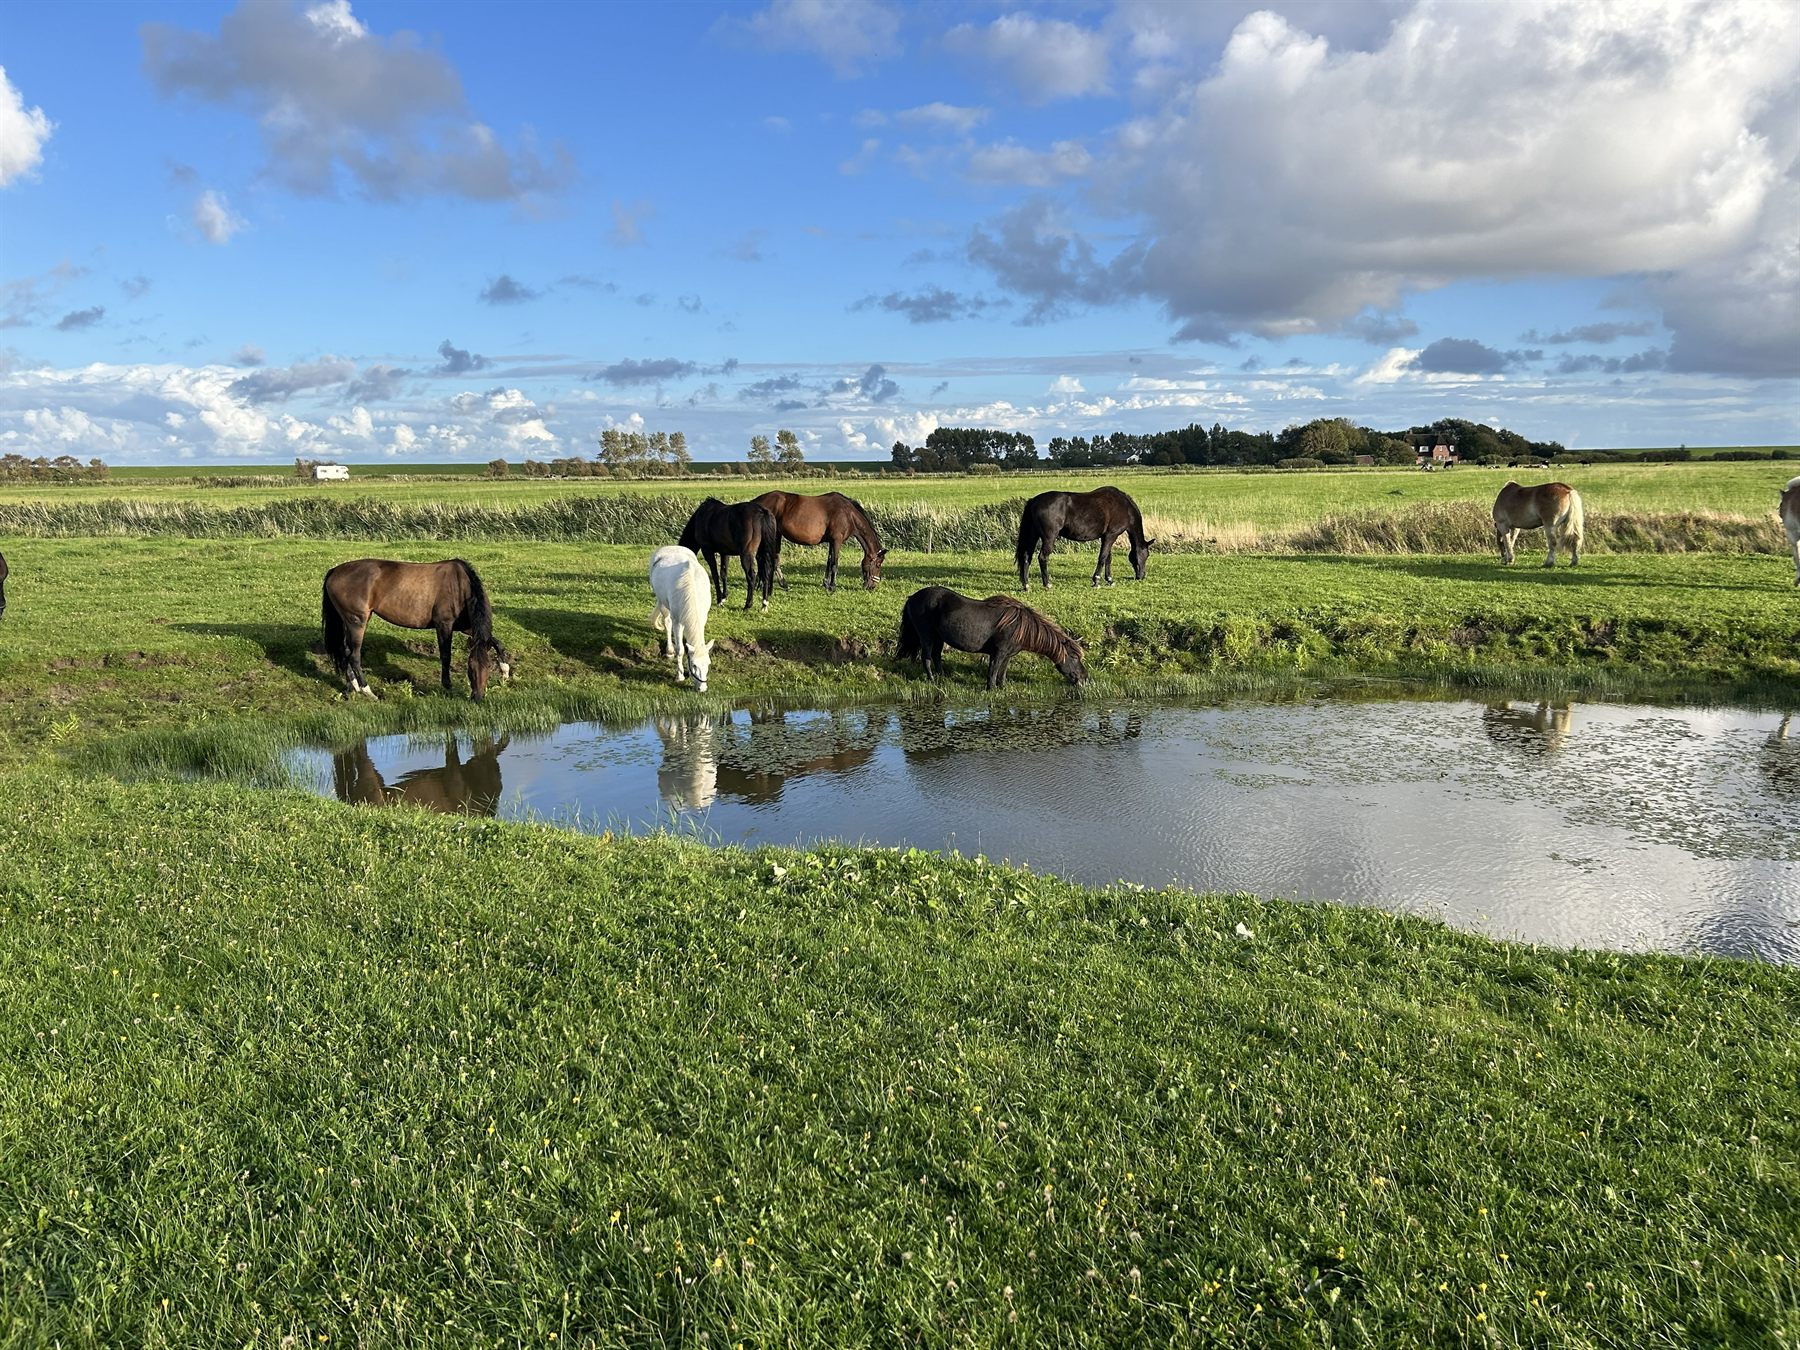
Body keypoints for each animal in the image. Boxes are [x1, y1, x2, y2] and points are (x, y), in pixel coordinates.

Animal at [322, 558, 511, 700]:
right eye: (470, 668)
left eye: (488, 667)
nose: (477, 697)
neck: (460, 586)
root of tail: (335, 571)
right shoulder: (444, 624)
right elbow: (446, 655)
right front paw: (447, 685)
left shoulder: (466, 626)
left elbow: (497, 642)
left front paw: (505, 672)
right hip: (357, 622)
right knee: (354, 656)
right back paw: (368, 691)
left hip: (348, 621)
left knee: (345, 651)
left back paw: (352, 685)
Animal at [650, 545, 714, 691]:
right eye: (694, 665)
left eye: (708, 664)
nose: (702, 688)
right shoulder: (678, 622)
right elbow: (680, 650)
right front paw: (679, 676)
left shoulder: (702, 619)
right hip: (662, 603)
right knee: (667, 623)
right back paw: (669, 651)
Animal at [753, 490, 887, 591]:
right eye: (878, 564)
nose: (872, 586)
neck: (848, 514)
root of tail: (756, 502)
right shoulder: (837, 540)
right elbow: (834, 563)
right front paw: (832, 587)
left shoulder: (831, 542)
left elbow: (829, 562)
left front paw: (826, 583)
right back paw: (778, 584)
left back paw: (763, 584)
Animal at [896, 586, 1087, 688]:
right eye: (1074, 657)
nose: (1084, 678)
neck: (1020, 626)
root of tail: (912, 597)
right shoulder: (998, 653)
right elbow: (993, 672)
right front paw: (991, 689)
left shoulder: (1007, 655)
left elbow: (1002, 672)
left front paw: (1002, 687)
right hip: (926, 635)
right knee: (926, 658)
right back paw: (933, 680)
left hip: (939, 638)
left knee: (936, 656)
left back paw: (943, 678)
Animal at [1015, 486, 1153, 589]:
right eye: (1146, 555)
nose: (1141, 576)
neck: (1124, 506)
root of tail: (1034, 501)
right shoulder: (1111, 536)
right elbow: (1102, 558)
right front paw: (1096, 581)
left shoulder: (1106, 537)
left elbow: (1108, 558)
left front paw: (1109, 580)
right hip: (1049, 537)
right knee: (1042, 557)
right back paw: (1047, 584)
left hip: (1033, 535)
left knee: (1026, 556)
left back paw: (1026, 585)